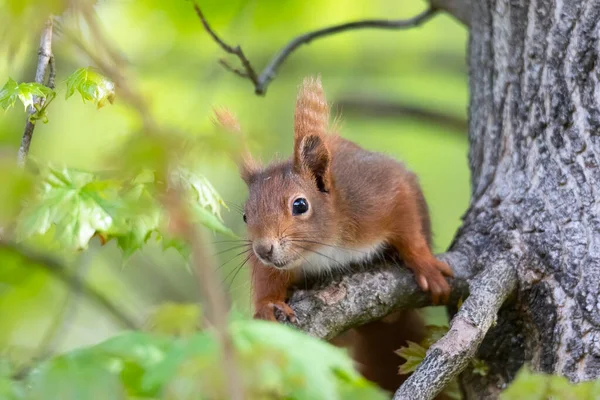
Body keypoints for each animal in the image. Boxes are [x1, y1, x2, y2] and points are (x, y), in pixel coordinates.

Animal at [213, 76, 452, 394]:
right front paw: (267, 304)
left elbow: (406, 223)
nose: (264, 249)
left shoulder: (377, 194)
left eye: (300, 205)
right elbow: (267, 275)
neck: (324, 245)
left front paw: (423, 262)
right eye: (245, 216)